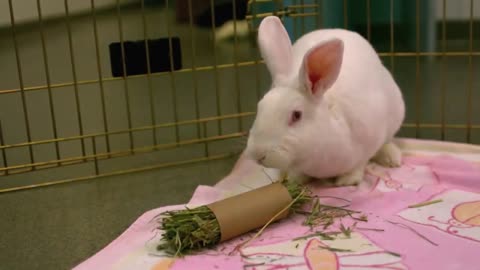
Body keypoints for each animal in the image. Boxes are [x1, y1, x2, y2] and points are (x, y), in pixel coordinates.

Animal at [220, 15, 404, 188]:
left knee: (388, 142)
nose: (258, 154)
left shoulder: (369, 141)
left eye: (296, 115)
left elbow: (360, 164)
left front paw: (347, 181)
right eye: (260, 107)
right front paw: (295, 179)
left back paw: (392, 159)